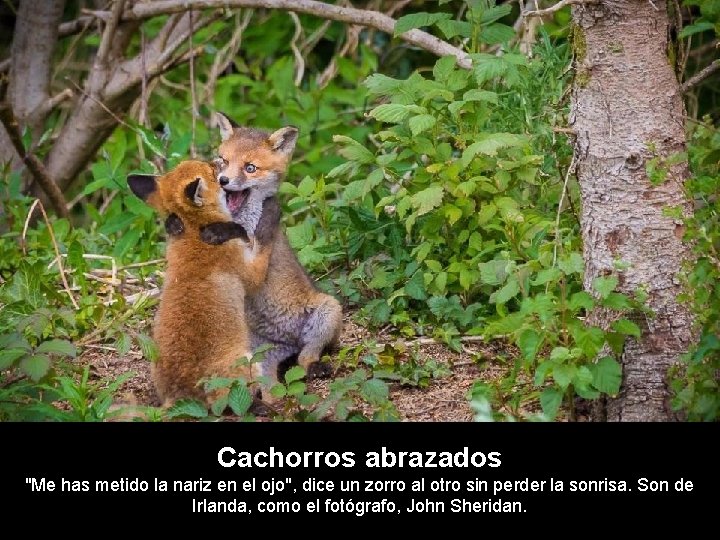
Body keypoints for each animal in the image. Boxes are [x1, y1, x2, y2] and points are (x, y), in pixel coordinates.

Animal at [127, 160, 259, 408]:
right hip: (250, 362)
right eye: (212, 172)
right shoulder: (249, 271)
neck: (193, 231)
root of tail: (181, 395)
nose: (217, 161)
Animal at [169, 113, 343, 390]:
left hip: (328, 313)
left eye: (250, 168)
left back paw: (315, 367)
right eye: (223, 161)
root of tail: (285, 342)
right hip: (252, 348)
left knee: (306, 358)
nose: (223, 181)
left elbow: (243, 236)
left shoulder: (255, 250)